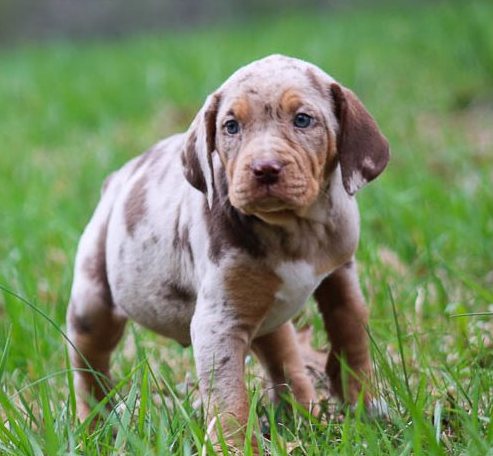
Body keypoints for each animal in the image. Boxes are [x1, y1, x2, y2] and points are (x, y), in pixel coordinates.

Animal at [66, 53, 388, 438]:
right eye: (231, 126)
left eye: (303, 120)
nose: (265, 169)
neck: (294, 230)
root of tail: (115, 180)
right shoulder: (218, 322)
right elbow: (229, 402)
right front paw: (233, 446)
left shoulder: (341, 272)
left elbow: (350, 330)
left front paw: (364, 405)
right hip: (92, 302)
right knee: (89, 369)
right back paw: (93, 428)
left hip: (265, 311)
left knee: (280, 354)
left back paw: (302, 414)